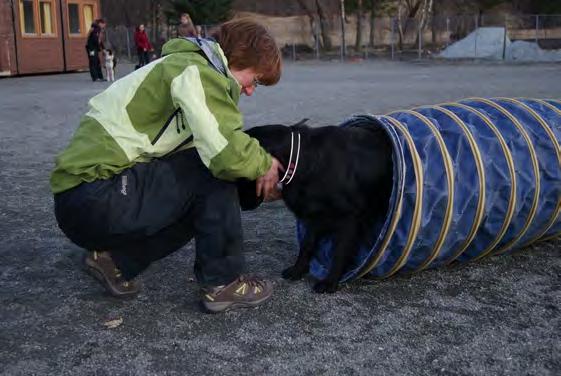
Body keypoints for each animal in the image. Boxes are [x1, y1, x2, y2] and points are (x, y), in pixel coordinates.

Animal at [238, 120, 392, 294]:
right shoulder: (314, 215)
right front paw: (298, 269)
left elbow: (339, 251)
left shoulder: (350, 219)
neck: (301, 160)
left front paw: (330, 282)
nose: (242, 205)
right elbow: (307, 244)